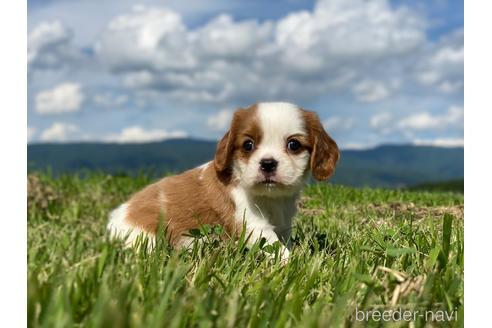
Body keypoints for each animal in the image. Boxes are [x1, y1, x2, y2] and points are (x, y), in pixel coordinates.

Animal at [107, 102, 338, 258]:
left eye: (294, 145)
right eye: (248, 145)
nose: (268, 163)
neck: (272, 198)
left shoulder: (284, 224)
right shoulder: (251, 222)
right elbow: (276, 249)